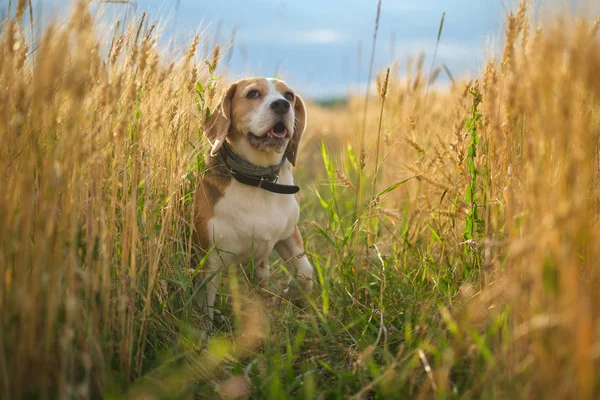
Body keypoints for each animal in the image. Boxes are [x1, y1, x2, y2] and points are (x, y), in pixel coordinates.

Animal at [195, 77, 314, 322]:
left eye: (289, 96)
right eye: (252, 94)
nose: (281, 105)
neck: (258, 180)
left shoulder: (289, 233)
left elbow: (306, 272)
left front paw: (292, 292)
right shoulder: (209, 262)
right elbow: (205, 311)